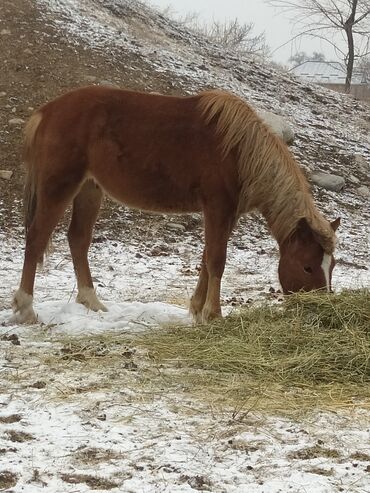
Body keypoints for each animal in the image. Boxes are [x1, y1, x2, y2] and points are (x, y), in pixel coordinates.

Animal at [11, 85, 340, 322]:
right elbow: (217, 260)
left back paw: (92, 302)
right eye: (308, 266)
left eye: (332, 265)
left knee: (78, 239)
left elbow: (208, 258)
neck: (238, 150)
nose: (322, 308)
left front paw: (197, 308)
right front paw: (213, 315)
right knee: (37, 238)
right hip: (60, 187)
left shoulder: (227, 214)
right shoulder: (217, 207)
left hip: (90, 190)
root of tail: (47, 111)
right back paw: (26, 308)